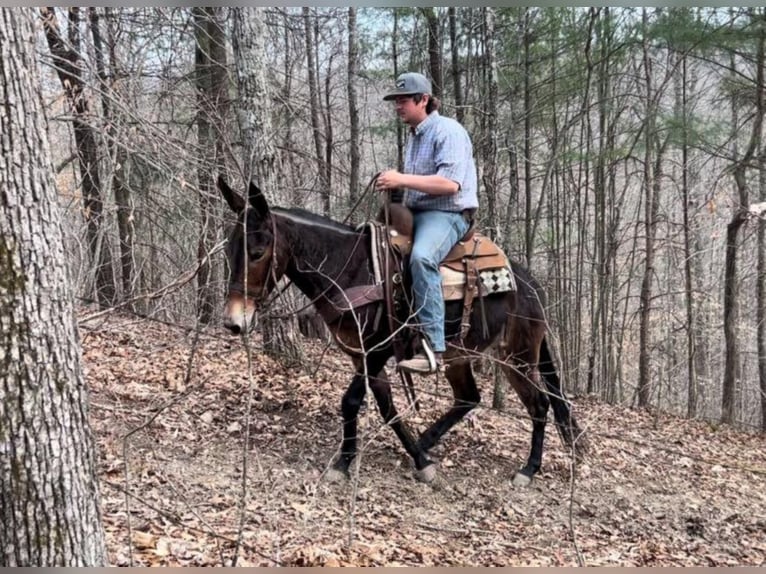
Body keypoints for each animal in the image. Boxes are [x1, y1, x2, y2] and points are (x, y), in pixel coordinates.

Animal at [216, 178, 588, 488]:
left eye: (257, 252)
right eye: (229, 250)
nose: (234, 321)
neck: (351, 269)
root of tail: (531, 286)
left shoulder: (377, 350)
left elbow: (351, 401)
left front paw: (342, 464)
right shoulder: (362, 356)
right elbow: (387, 407)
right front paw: (419, 459)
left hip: (518, 356)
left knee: (539, 405)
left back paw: (528, 470)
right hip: (461, 355)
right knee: (468, 398)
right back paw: (427, 440)